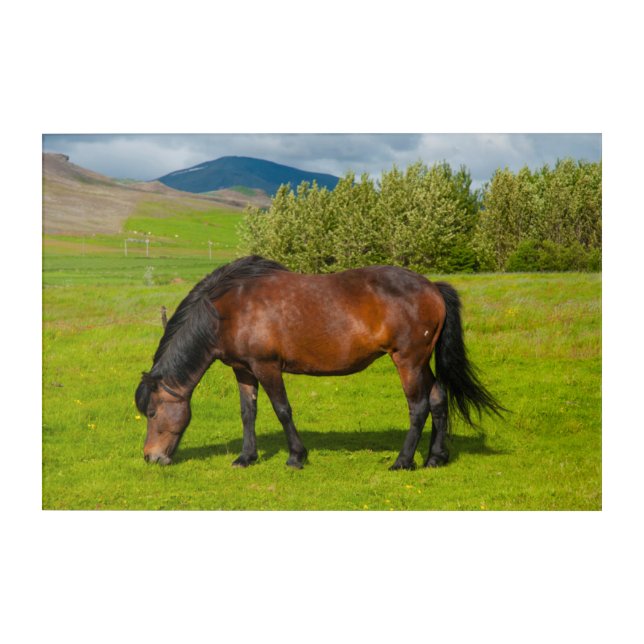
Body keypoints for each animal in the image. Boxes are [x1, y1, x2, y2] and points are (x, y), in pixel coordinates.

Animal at [135, 255, 504, 470]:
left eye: (152, 413)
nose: (151, 457)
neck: (230, 309)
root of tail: (433, 288)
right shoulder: (244, 370)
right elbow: (248, 413)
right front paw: (246, 457)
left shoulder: (267, 366)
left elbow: (282, 410)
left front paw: (296, 457)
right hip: (422, 362)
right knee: (439, 397)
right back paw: (435, 458)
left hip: (409, 361)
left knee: (419, 407)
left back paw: (403, 461)